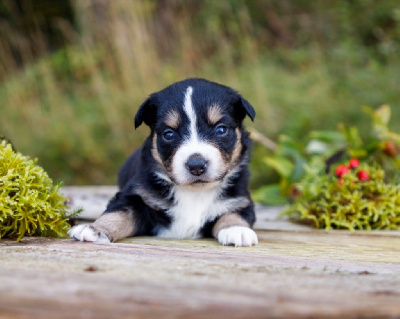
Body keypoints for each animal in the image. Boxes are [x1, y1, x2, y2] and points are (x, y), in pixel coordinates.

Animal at [67, 79, 258, 248]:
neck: (194, 193)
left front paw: (236, 229)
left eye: (221, 129)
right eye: (169, 134)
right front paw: (94, 228)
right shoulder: (137, 196)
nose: (196, 165)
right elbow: (119, 212)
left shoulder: (240, 199)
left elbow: (234, 213)